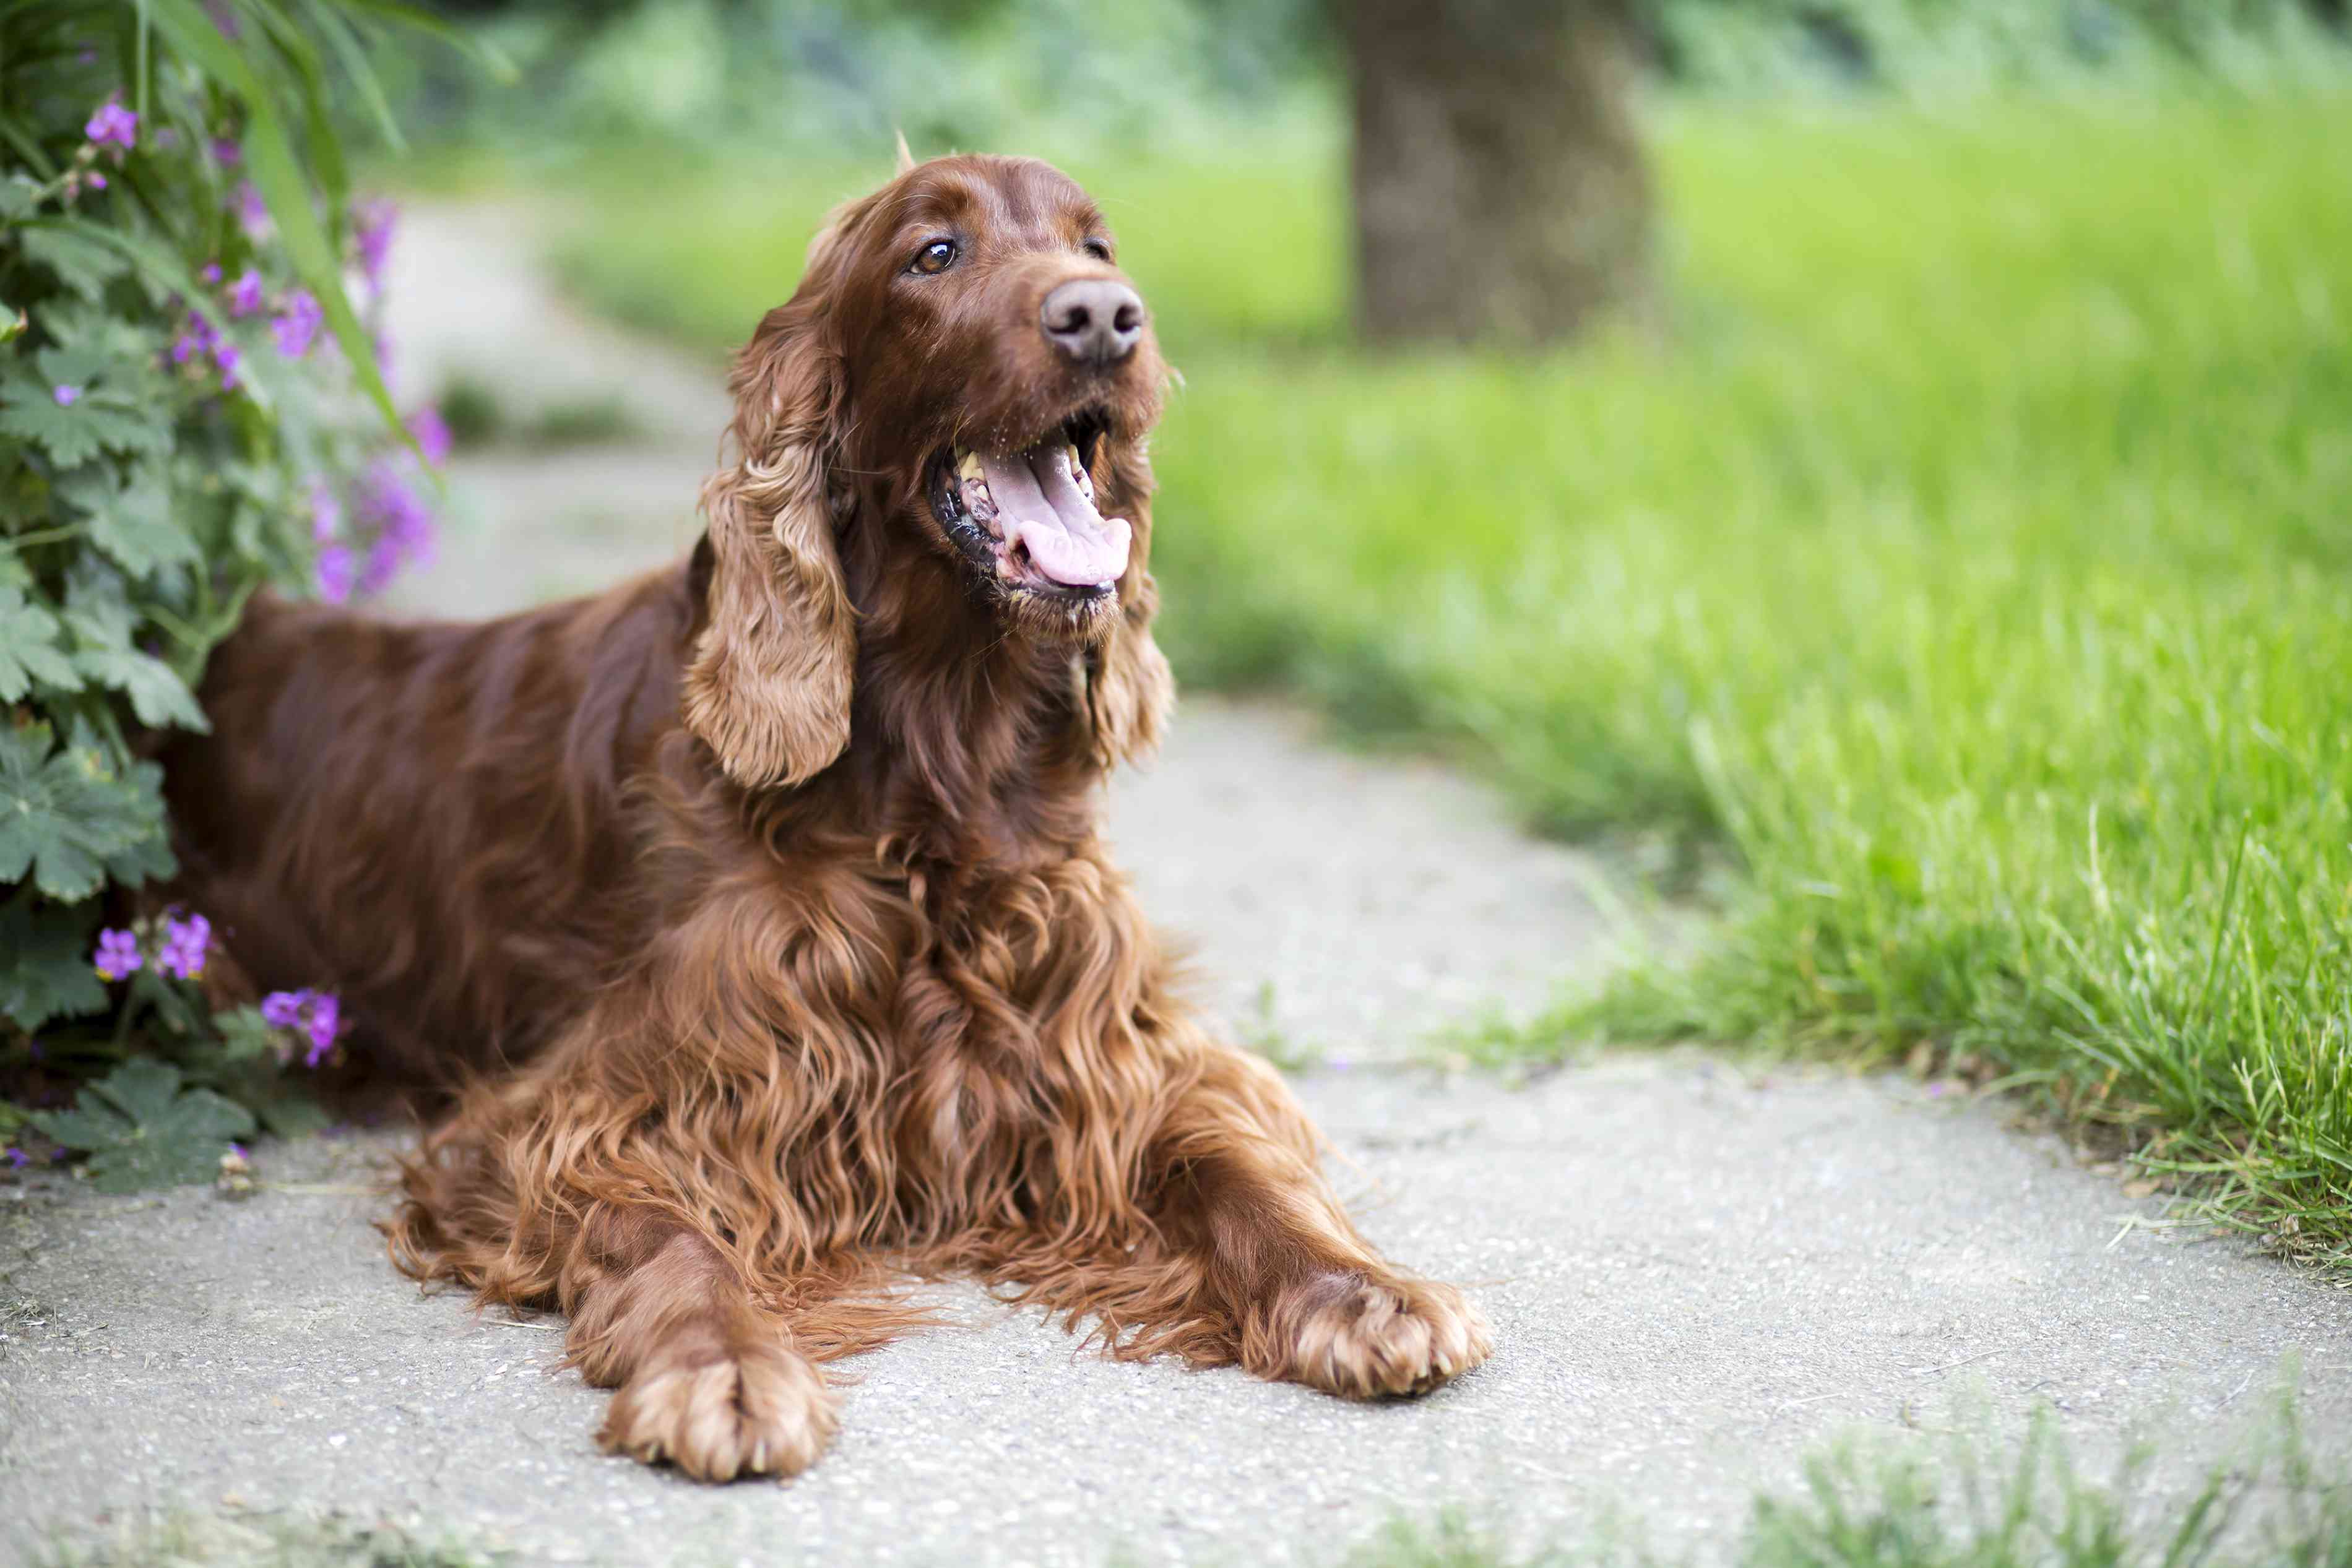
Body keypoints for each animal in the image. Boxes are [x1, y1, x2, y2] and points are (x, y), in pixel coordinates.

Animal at [161, 156, 1486, 1486]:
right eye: (934, 253)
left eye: (1097, 244)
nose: (1106, 317)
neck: (938, 758)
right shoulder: (568, 1114)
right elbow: (664, 1230)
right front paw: (724, 1362)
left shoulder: (1100, 1052)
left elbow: (1231, 1159)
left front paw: (1358, 1287)